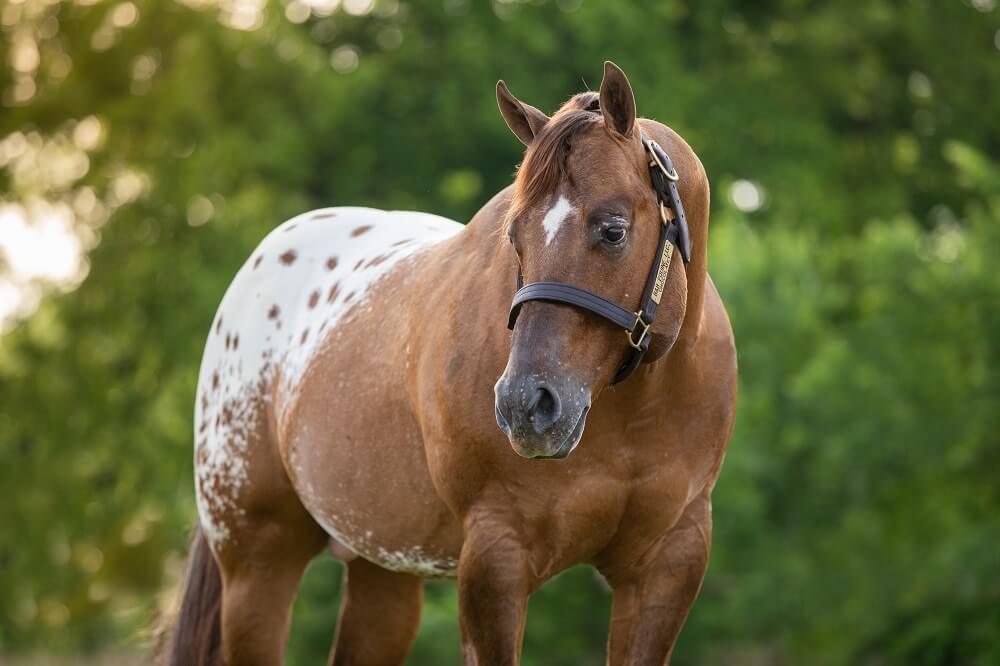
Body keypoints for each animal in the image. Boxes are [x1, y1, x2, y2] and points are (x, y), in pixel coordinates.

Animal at [170, 59, 736, 660]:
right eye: (515, 236)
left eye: (613, 229)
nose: (525, 406)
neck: (634, 413)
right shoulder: (496, 556)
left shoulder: (668, 565)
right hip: (257, 565)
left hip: (383, 573)